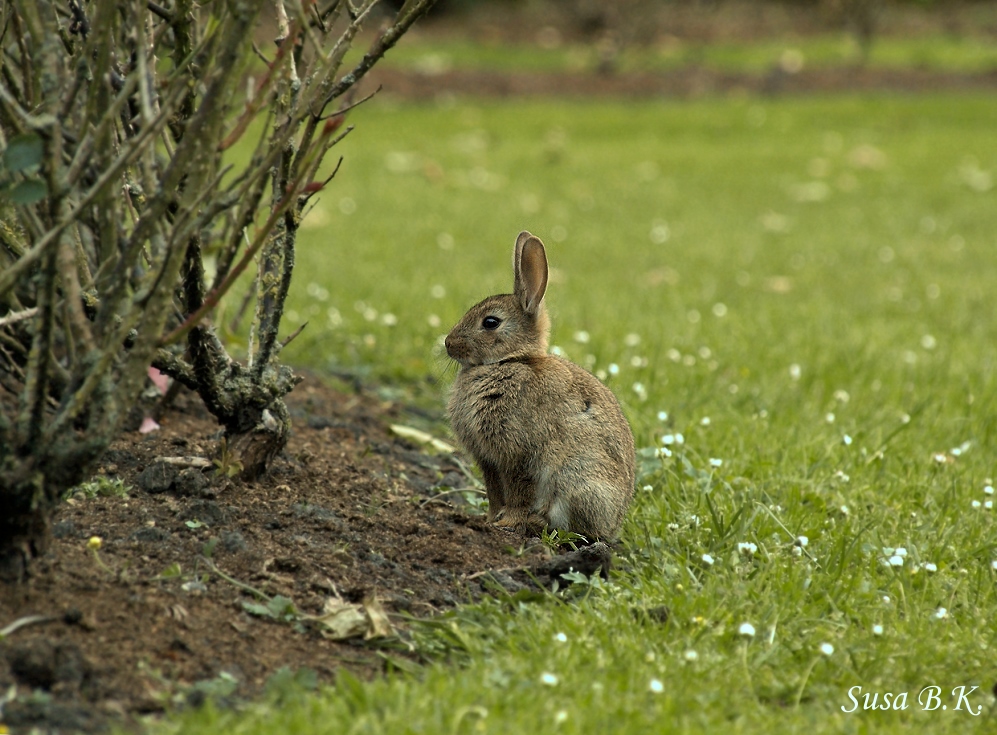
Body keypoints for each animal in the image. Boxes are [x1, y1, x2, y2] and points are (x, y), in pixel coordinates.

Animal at [446, 233, 636, 544]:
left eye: (490, 322)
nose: (448, 344)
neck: (511, 361)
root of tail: (614, 525)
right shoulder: (489, 461)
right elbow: (494, 494)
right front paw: (487, 520)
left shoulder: (520, 455)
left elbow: (518, 494)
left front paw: (506, 524)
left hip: (577, 481)